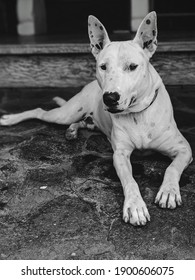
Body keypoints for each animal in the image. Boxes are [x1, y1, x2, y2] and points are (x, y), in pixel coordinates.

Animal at [0, 12, 192, 225]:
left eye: (132, 66)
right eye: (103, 67)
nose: (109, 98)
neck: (137, 114)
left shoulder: (184, 149)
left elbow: (172, 168)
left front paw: (168, 191)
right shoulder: (120, 155)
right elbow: (130, 181)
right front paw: (135, 206)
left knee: (82, 122)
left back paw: (72, 131)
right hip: (66, 113)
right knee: (40, 111)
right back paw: (10, 119)